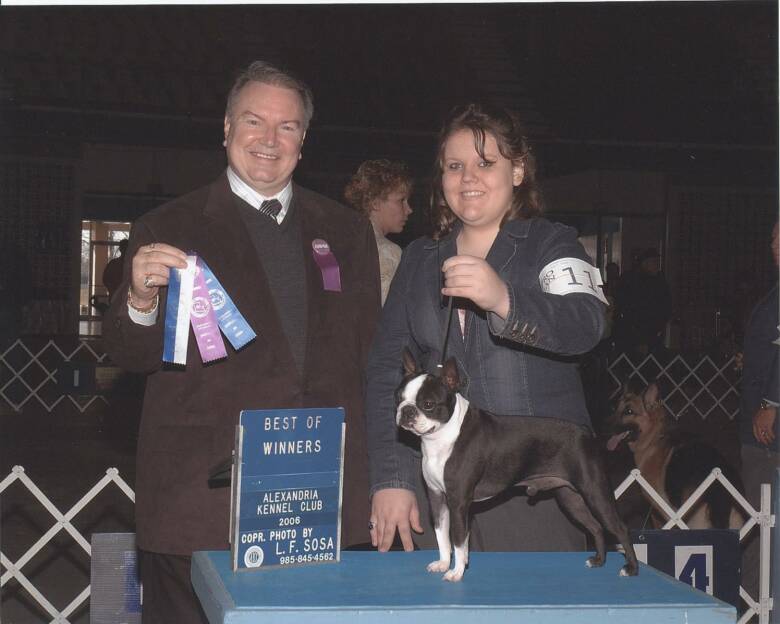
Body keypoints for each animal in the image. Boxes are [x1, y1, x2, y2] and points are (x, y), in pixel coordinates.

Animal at [395, 349, 639, 582]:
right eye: (398, 398)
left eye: (428, 404)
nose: (406, 411)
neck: (442, 437)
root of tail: (586, 433)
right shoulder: (437, 498)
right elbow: (441, 536)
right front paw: (444, 564)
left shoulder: (458, 502)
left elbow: (458, 541)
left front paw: (456, 572)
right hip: (570, 497)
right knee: (595, 527)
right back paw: (599, 561)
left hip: (595, 491)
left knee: (621, 528)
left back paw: (631, 569)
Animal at [606, 379, 744, 530]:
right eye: (614, 409)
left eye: (629, 411)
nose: (604, 427)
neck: (654, 437)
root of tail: (720, 492)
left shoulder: (659, 512)